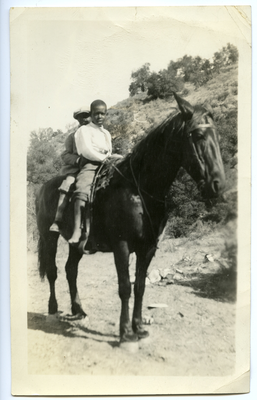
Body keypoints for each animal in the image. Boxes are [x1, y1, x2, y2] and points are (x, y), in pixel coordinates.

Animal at [35, 94, 224, 346]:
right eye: (199, 136)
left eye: (216, 135)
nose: (218, 184)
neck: (140, 188)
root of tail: (42, 188)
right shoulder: (121, 246)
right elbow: (125, 287)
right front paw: (125, 332)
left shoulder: (148, 248)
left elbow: (140, 286)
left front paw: (139, 327)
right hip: (49, 237)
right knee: (53, 271)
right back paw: (53, 309)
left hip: (77, 244)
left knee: (70, 270)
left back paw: (78, 310)